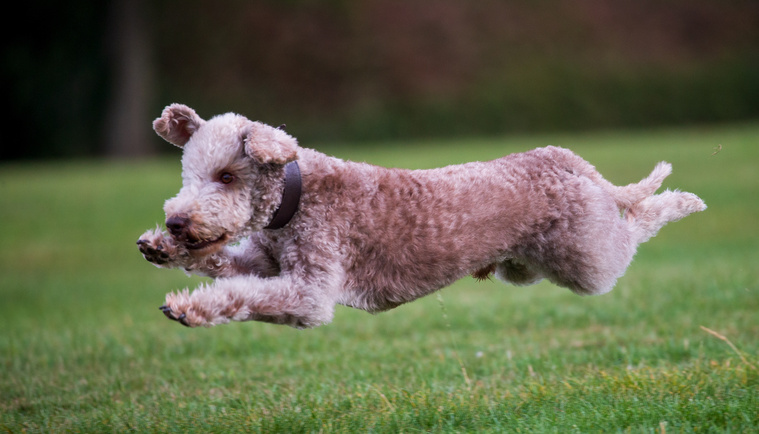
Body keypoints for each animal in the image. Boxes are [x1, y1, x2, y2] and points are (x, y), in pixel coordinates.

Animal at [137, 104, 708, 328]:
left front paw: (188, 308)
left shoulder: (308, 293)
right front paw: (160, 248)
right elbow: (225, 266)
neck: (294, 200)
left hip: (586, 257)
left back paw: (685, 200)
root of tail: (564, 159)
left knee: (636, 224)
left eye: (227, 176)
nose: (178, 222)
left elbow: (243, 295)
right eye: (189, 174)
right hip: (526, 266)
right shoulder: (266, 261)